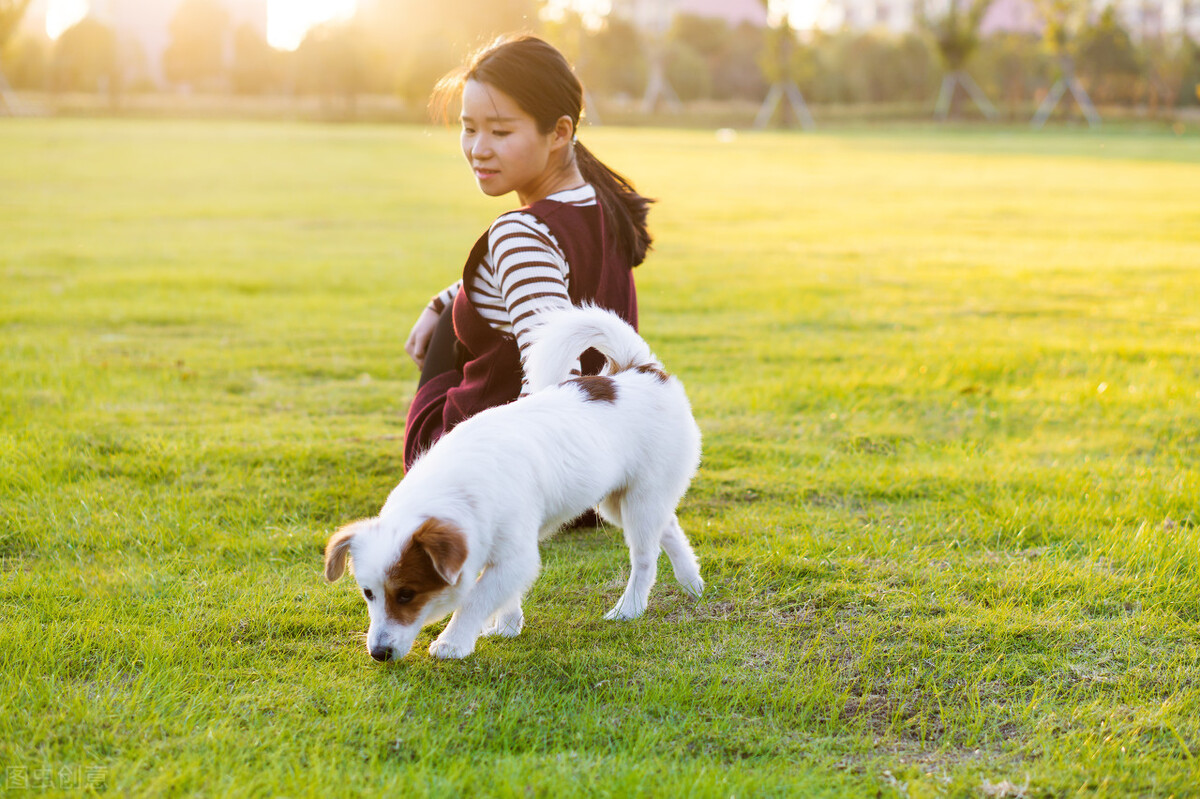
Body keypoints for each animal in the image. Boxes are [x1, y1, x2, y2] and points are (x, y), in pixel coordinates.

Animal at [324, 304, 705, 657]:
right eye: (368, 593)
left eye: (406, 594)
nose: (379, 653)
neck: (457, 488)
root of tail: (637, 369)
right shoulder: (500, 553)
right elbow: (503, 594)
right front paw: (507, 625)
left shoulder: (515, 556)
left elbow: (475, 598)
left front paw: (453, 642)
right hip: (615, 501)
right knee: (668, 527)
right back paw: (691, 581)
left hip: (641, 498)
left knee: (645, 557)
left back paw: (629, 609)